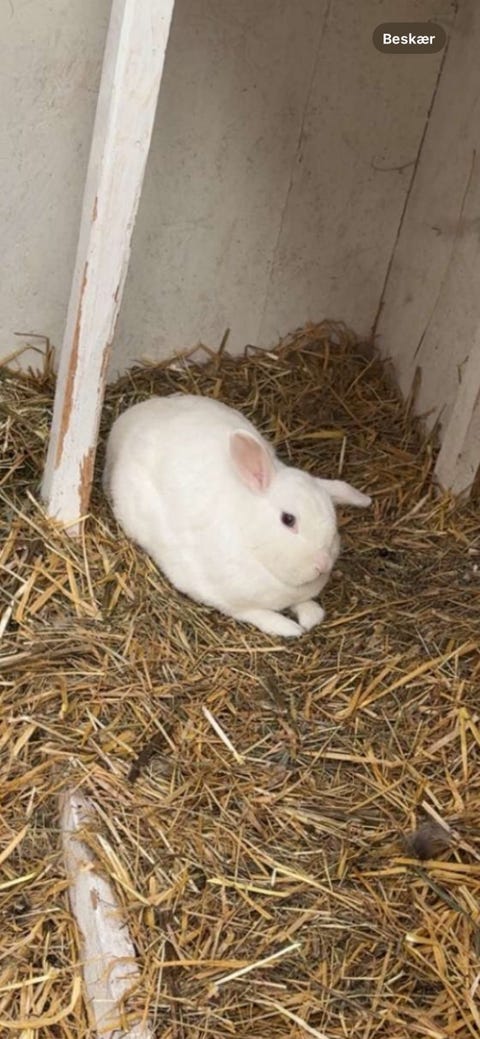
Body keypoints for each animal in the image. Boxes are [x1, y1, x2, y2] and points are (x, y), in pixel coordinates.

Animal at [103, 394, 371, 637]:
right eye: (288, 519)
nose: (323, 563)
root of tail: (128, 421)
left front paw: (311, 616)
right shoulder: (222, 598)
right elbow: (256, 613)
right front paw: (289, 628)